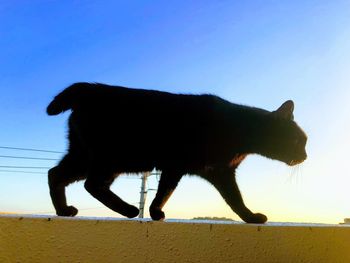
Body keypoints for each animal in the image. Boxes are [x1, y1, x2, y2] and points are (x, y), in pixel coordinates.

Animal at [46, 83, 306, 224]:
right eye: (299, 141)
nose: (305, 156)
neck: (239, 128)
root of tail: (89, 88)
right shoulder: (181, 165)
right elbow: (167, 192)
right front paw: (153, 212)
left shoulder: (214, 172)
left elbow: (233, 199)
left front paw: (249, 217)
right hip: (113, 158)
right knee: (92, 184)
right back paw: (129, 210)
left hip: (83, 156)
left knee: (55, 173)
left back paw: (63, 211)